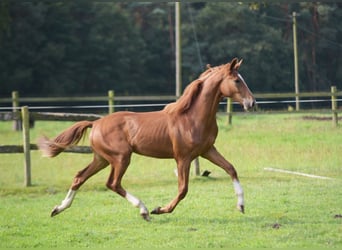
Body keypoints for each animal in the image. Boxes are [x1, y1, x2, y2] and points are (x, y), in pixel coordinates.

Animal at [38, 58, 255, 221]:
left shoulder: (207, 150)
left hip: (102, 158)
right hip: (121, 157)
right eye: (236, 80)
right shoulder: (182, 158)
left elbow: (231, 169)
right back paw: (144, 210)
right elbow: (183, 189)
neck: (192, 117)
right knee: (112, 183)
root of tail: (96, 123)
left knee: (80, 177)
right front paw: (160, 209)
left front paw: (241, 205)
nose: (251, 103)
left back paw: (58, 208)